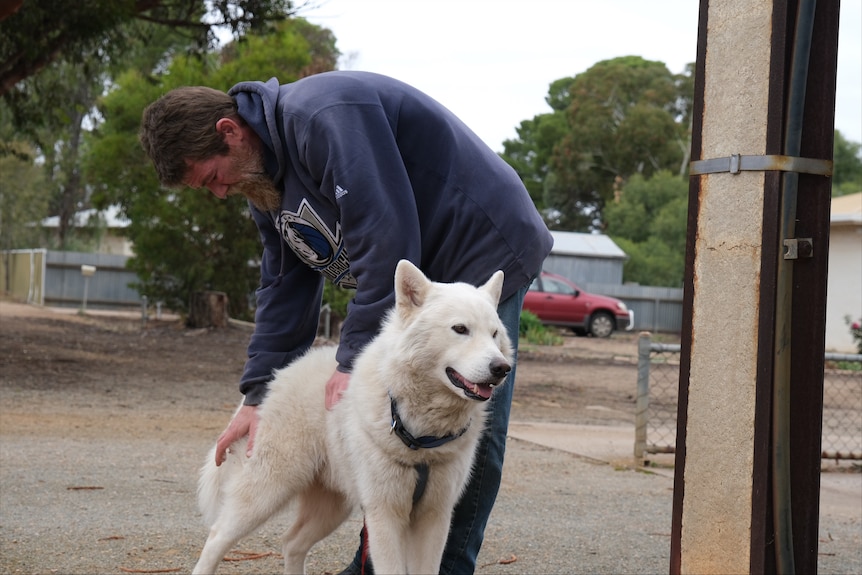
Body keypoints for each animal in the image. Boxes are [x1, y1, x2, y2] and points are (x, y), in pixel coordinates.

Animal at [192, 262, 512, 575]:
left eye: (494, 334)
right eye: (460, 329)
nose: (502, 368)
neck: (419, 434)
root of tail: (275, 378)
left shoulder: (434, 515)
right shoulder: (384, 514)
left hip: (332, 506)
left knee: (291, 542)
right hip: (267, 491)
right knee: (217, 536)